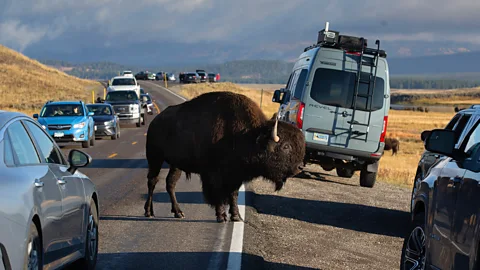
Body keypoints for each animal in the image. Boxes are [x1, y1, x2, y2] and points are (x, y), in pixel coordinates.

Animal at [144, 92, 306, 223]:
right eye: (286, 146)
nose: (299, 167)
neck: (249, 136)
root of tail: (155, 121)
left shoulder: (236, 176)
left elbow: (233, 195)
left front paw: (236, 216)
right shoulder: (215, 175)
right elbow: (219, 195)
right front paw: (221, 216)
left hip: (175, 165)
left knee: (170, 184)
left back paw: (178, 212)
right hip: (155, 158)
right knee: (152, 181)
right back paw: (149, 212)